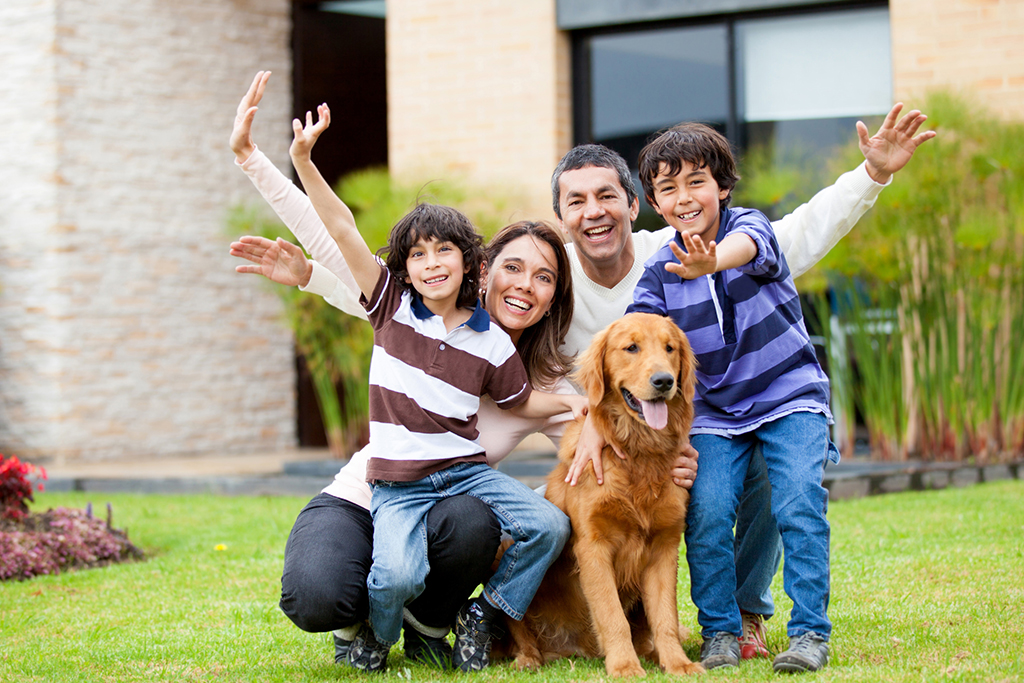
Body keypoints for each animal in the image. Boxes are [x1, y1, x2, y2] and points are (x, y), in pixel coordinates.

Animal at [499, 315, 708, 679]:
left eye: (670, 348)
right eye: (631, 347)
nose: (664, 381)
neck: (638, 454)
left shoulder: (664, 548)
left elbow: (666, 618)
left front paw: (677, 663)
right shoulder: (593, 547)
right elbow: (612, 617)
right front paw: (624, 666)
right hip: (506, 547)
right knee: (519, 629)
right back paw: (528, 659)